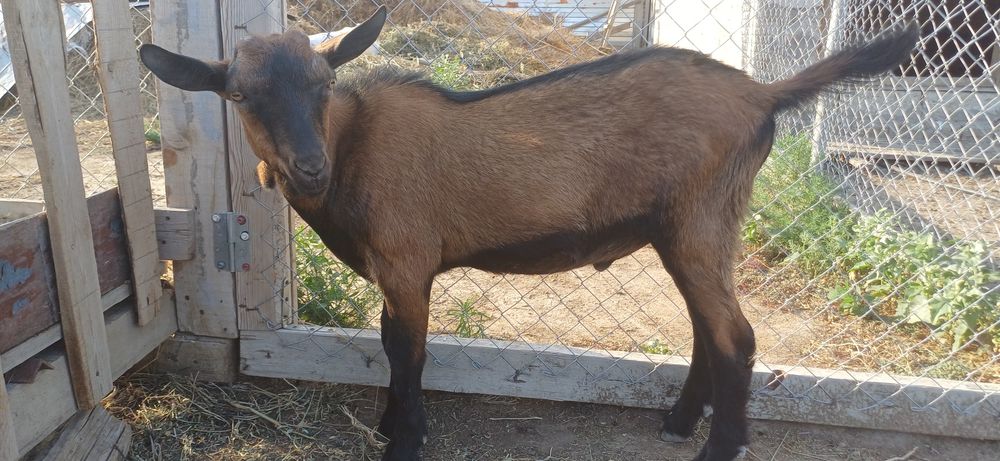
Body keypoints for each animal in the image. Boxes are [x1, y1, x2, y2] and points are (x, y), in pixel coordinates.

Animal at [140, 7, 919, 460]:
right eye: (241, 95)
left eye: (324, 82)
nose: (309, 166)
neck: (353, 146)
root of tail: (761, 93)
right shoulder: (395, 268)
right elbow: (391, 346)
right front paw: (392, 426)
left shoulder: (406, 259)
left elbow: (407, 352)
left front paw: (406, 440)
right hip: (684, 230)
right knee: (709, 327)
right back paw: (676, 422)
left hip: (702, 218)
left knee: (737, 336)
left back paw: (717, 448)